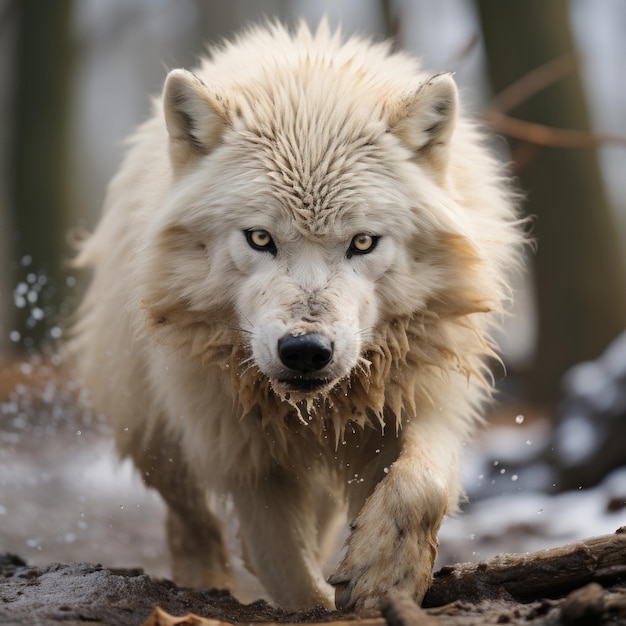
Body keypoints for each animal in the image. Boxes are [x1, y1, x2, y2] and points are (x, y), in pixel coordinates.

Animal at [69, 22, 520, 612]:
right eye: (260, 238)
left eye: (362, 242)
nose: (306, 351)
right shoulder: (241, 451)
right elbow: (284, 566)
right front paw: (319, 602)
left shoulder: (422, 395)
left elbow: (421, 485)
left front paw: (383, 572)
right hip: (154, 427)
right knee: (189, 514)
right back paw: (203, 579)